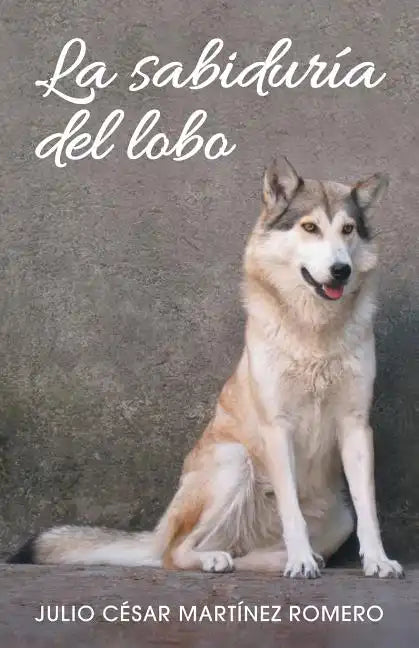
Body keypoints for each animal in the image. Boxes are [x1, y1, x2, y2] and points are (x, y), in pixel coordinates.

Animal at [9, 156, 403, 578]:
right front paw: (299, 561)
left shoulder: (356, 426)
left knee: (250, 553)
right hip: (234, 461)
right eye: (310, 227)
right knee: (175, 553)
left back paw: (281, 557)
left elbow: (369, 511)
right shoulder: (277, 426)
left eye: (348, 229)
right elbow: (291, 512)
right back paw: (221, 558)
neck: (315, 330)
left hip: (335, 518)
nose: (341, 269)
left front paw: (377, 561)